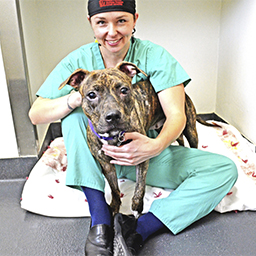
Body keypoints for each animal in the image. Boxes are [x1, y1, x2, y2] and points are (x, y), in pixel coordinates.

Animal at [59, 61, 218, 216]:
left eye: (124, 90)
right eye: (91, 94)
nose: (113, 116)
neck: (114, 136)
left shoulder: (141, 156)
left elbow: (139, 188)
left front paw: (137, 208)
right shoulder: (106, 164)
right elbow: (114, 189)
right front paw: (114, 206)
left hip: (189, 127)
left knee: (191, 141)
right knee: (179, 139)